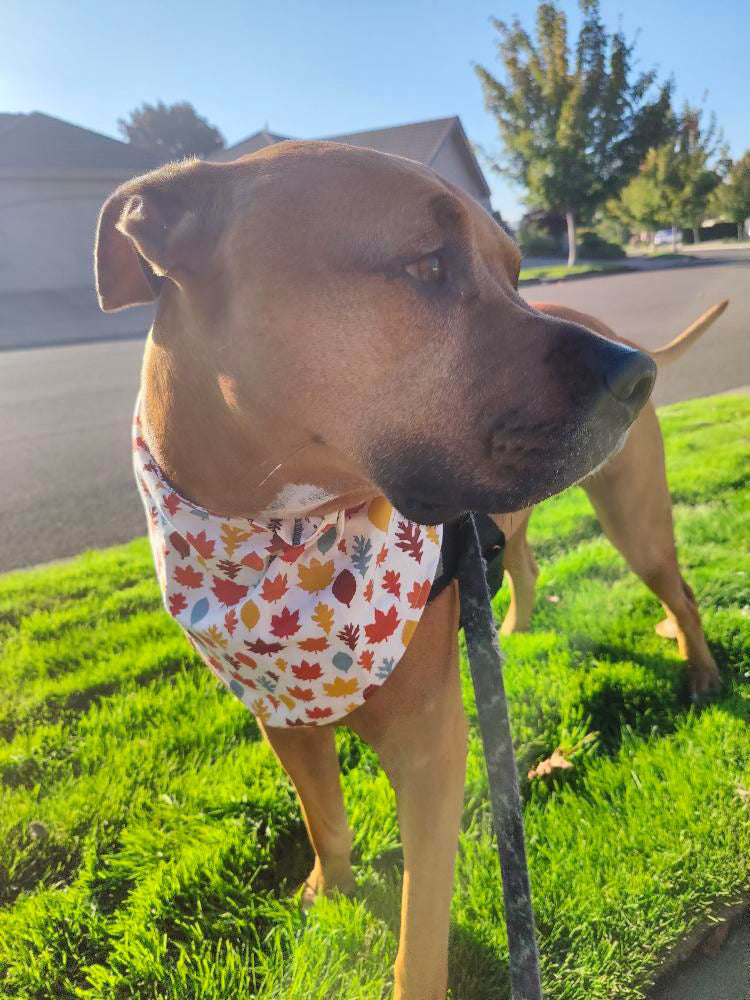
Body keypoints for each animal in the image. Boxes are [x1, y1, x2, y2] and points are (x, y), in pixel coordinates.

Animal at [95, 143, 656, 1000]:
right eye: (427, 263)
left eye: (515, 272)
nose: (639, 374)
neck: (282, 538)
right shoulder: (281, 719)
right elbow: (323, 816)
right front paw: (330, 891)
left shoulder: (431, 751)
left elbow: (420, 925)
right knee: (525, 564)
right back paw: (521, 624)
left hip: (635, 518)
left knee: (680, 596)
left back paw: (700, 671)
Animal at [494, 300, 728, 700]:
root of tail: (618, 338)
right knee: (524, 571)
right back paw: (513, 633)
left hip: (635, 526)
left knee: (681, 598)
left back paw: (700, 671)